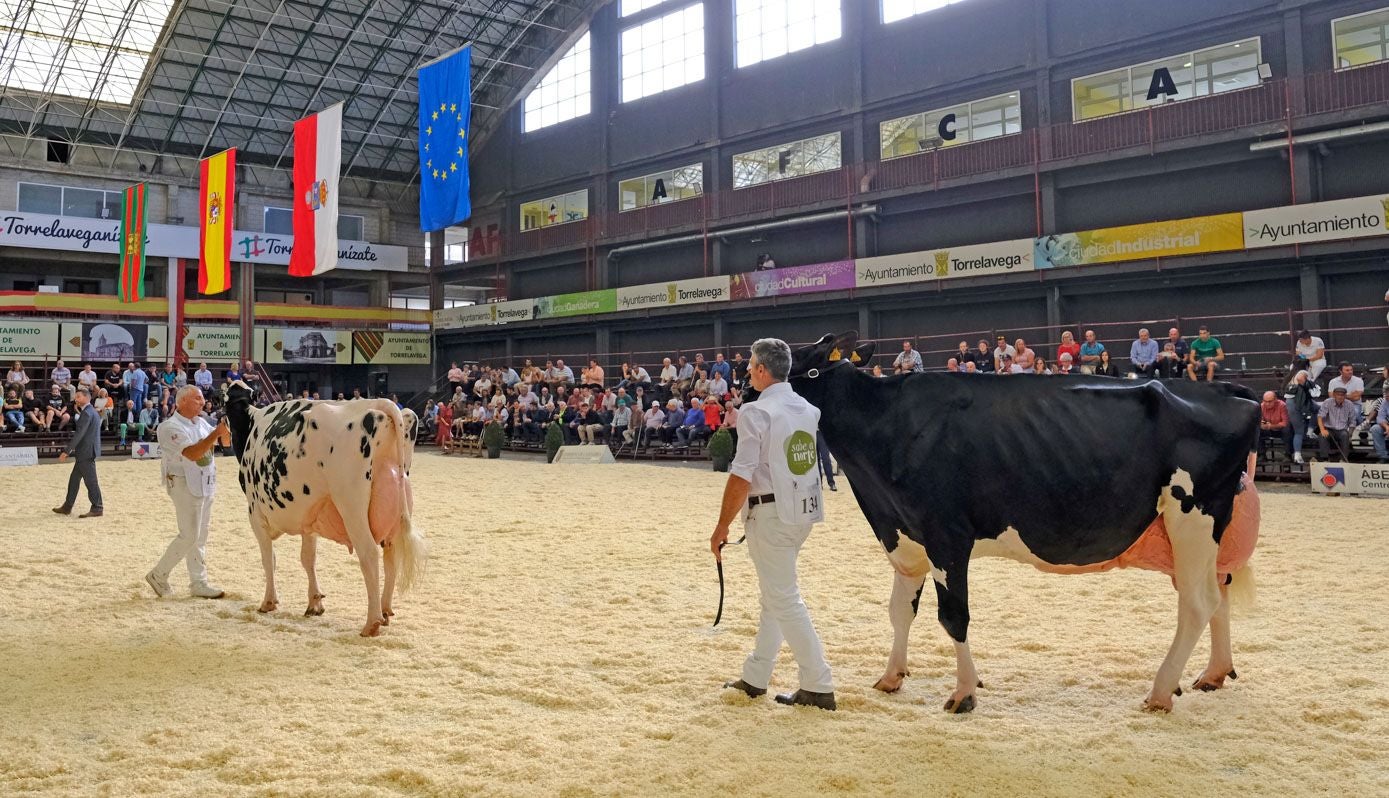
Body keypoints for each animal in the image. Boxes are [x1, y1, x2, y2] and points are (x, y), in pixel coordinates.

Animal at [223, 383, 422, 641]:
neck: (251, 423)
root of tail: (380, 404)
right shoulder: (310, 517)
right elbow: (308, 558)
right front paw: (314, 603)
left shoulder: (255, 513)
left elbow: (269, 559)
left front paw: (268, 602)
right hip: (397, 507)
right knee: (391, 557)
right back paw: (386, 610)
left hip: (351, 505)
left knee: (369, 555)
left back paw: (372, 623)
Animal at [783, 334, 1261, 716]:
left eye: (803, 360)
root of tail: (1230, 390)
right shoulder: (903, 534)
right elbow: (900, 611)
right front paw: (891, 676)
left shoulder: (946, 535)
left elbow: (953, 617)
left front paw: (963, 692)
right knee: (1218, 592)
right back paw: (1213, 673)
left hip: (1193, 515)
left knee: (1197, 603)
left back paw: (1160, 692)